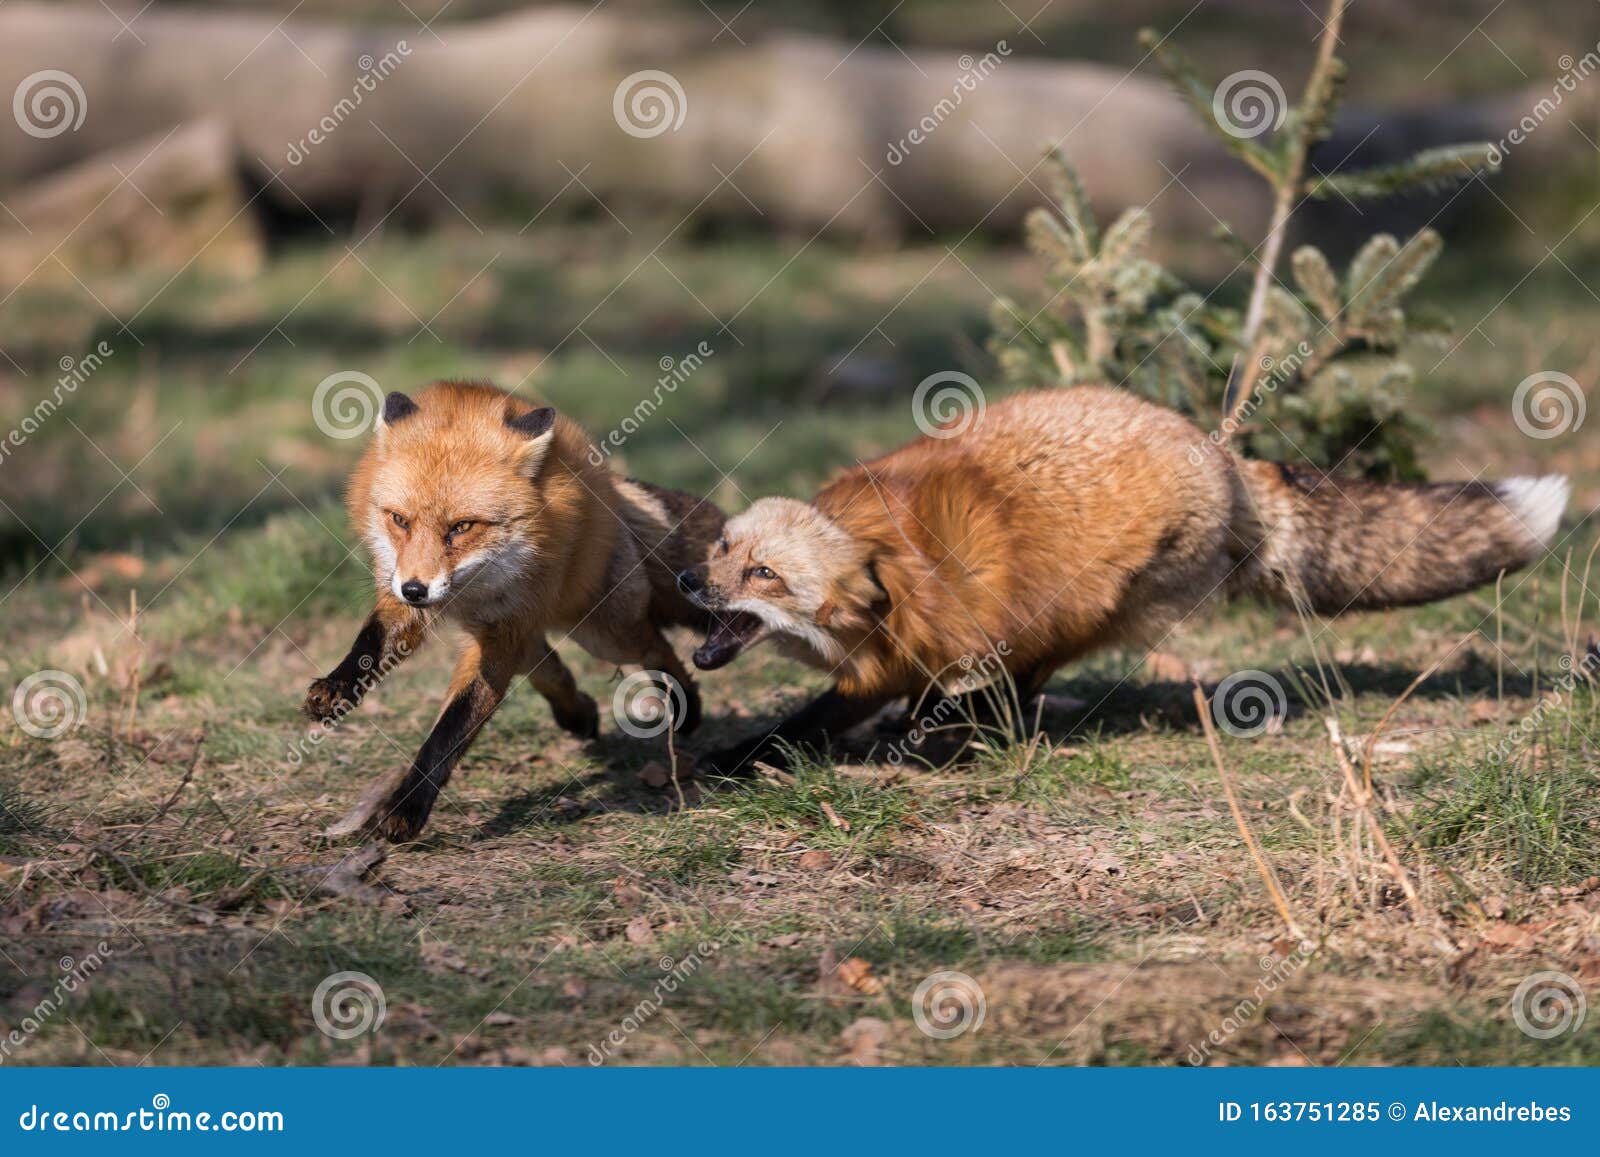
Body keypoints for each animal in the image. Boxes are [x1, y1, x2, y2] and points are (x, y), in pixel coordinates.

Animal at [300, 380, 726, 844]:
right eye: (400, 520)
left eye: (462, 527)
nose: (415, 590)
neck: (469, 592)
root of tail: (610, 488)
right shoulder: (407, 597)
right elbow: (370, 643)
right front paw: (335, 688)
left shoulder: (499, 636)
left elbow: (449, 732)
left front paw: (406, 809)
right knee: (548, 663)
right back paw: (578, 713)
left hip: (601, 633)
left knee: (654, 646)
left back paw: (687, 707)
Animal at [678, 384, 1574, 774]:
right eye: (723, 546)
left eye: (763, 573)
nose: (687, 580)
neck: (887, 572)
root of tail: (1221, 453)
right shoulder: (890, 660)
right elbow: (824, 714)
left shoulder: (938, 642)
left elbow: (846, 713)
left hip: (1086, 606)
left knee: (1024, 678)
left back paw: (972, 725)